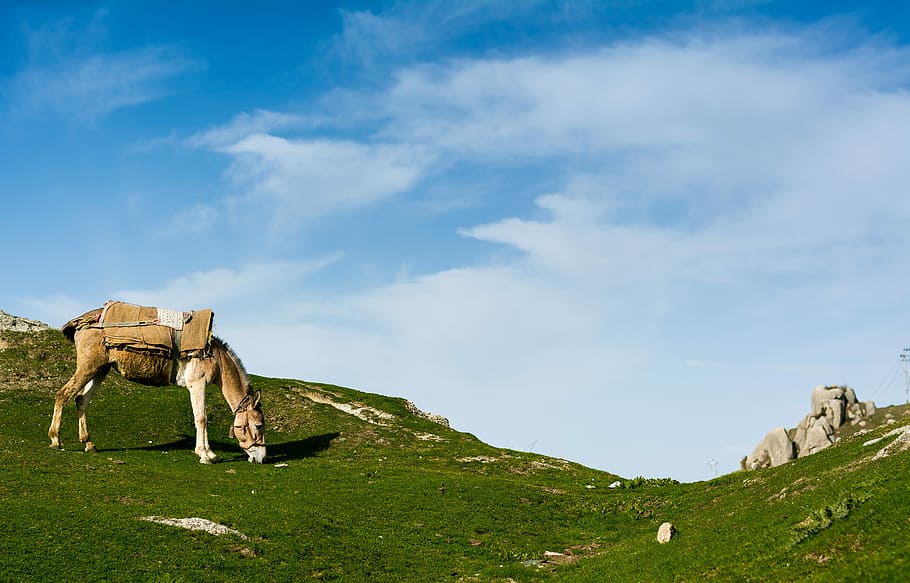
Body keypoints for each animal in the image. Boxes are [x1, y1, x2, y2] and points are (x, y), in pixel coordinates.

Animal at [48, 307, 266, 464]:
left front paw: (210, 453)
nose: (261, 458)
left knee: (81, 399)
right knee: (63, 394)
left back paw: (89, 443)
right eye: (259, 425)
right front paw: (204, 455)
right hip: (89, 366)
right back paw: (55, 439)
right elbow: (201, 418)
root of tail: (81, 322)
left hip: (101, 369)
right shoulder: (197, 384)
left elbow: (202, 417)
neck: (215, 358)